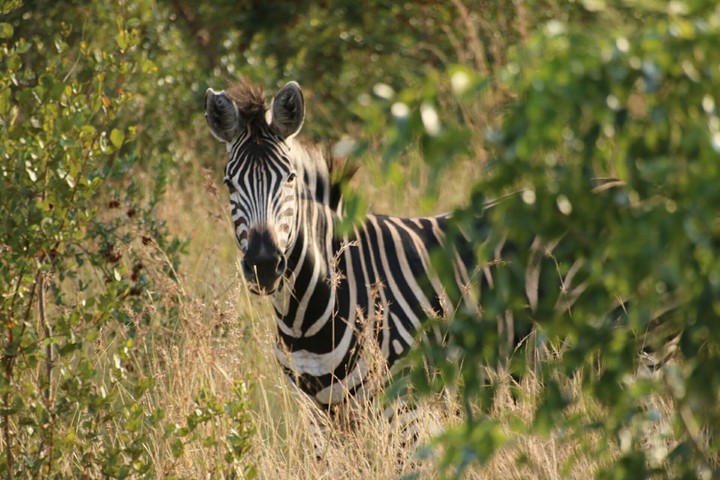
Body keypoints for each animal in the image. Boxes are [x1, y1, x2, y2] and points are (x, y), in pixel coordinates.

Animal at [203, 80, 527, 440]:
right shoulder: (318, 421)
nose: (263, 265)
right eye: (229, 183)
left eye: (289, 178)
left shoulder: (406, 409)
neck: (304, 321)